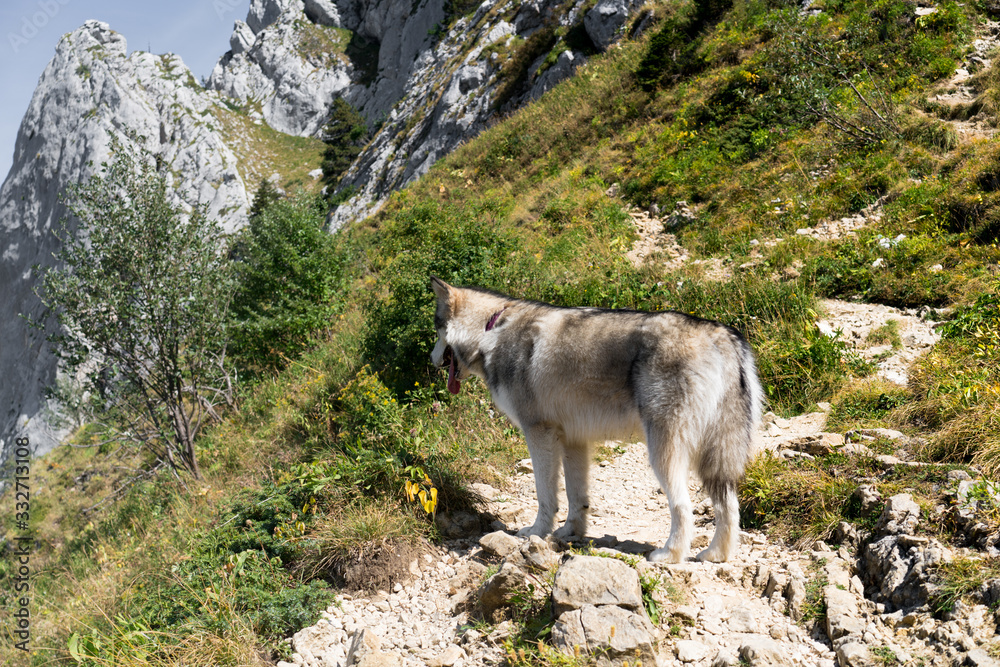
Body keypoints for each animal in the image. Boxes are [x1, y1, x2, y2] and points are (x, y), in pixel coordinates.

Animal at [430, 277, 762, 563]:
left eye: (436, 330)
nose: (431, 360)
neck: (490, 332)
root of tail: (723, 335)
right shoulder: (573, 440)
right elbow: (576, 497)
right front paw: (569, 532)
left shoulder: (538, 433)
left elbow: (546, 496)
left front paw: (536, 532)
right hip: (716, 458)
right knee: (729, 506)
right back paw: (716, 555)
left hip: (663, 454)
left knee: (683, 507)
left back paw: (669, 555)